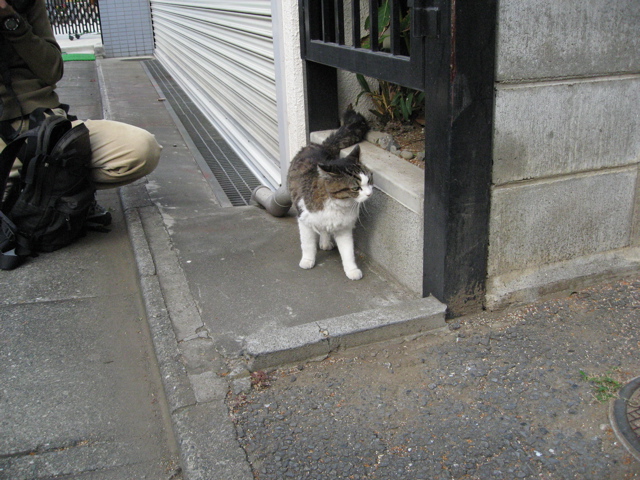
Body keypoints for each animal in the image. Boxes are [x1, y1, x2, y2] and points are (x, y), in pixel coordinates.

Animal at [287, 108, 373, 280]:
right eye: (356, 188)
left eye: (369, 180)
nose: (369, 193)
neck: (339, 205)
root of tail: (322, 146)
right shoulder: (304, 220)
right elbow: (307, 244)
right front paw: (308, 260)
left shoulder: (344, 228)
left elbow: (348, 252)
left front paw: (352, 270)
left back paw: (325, 241)